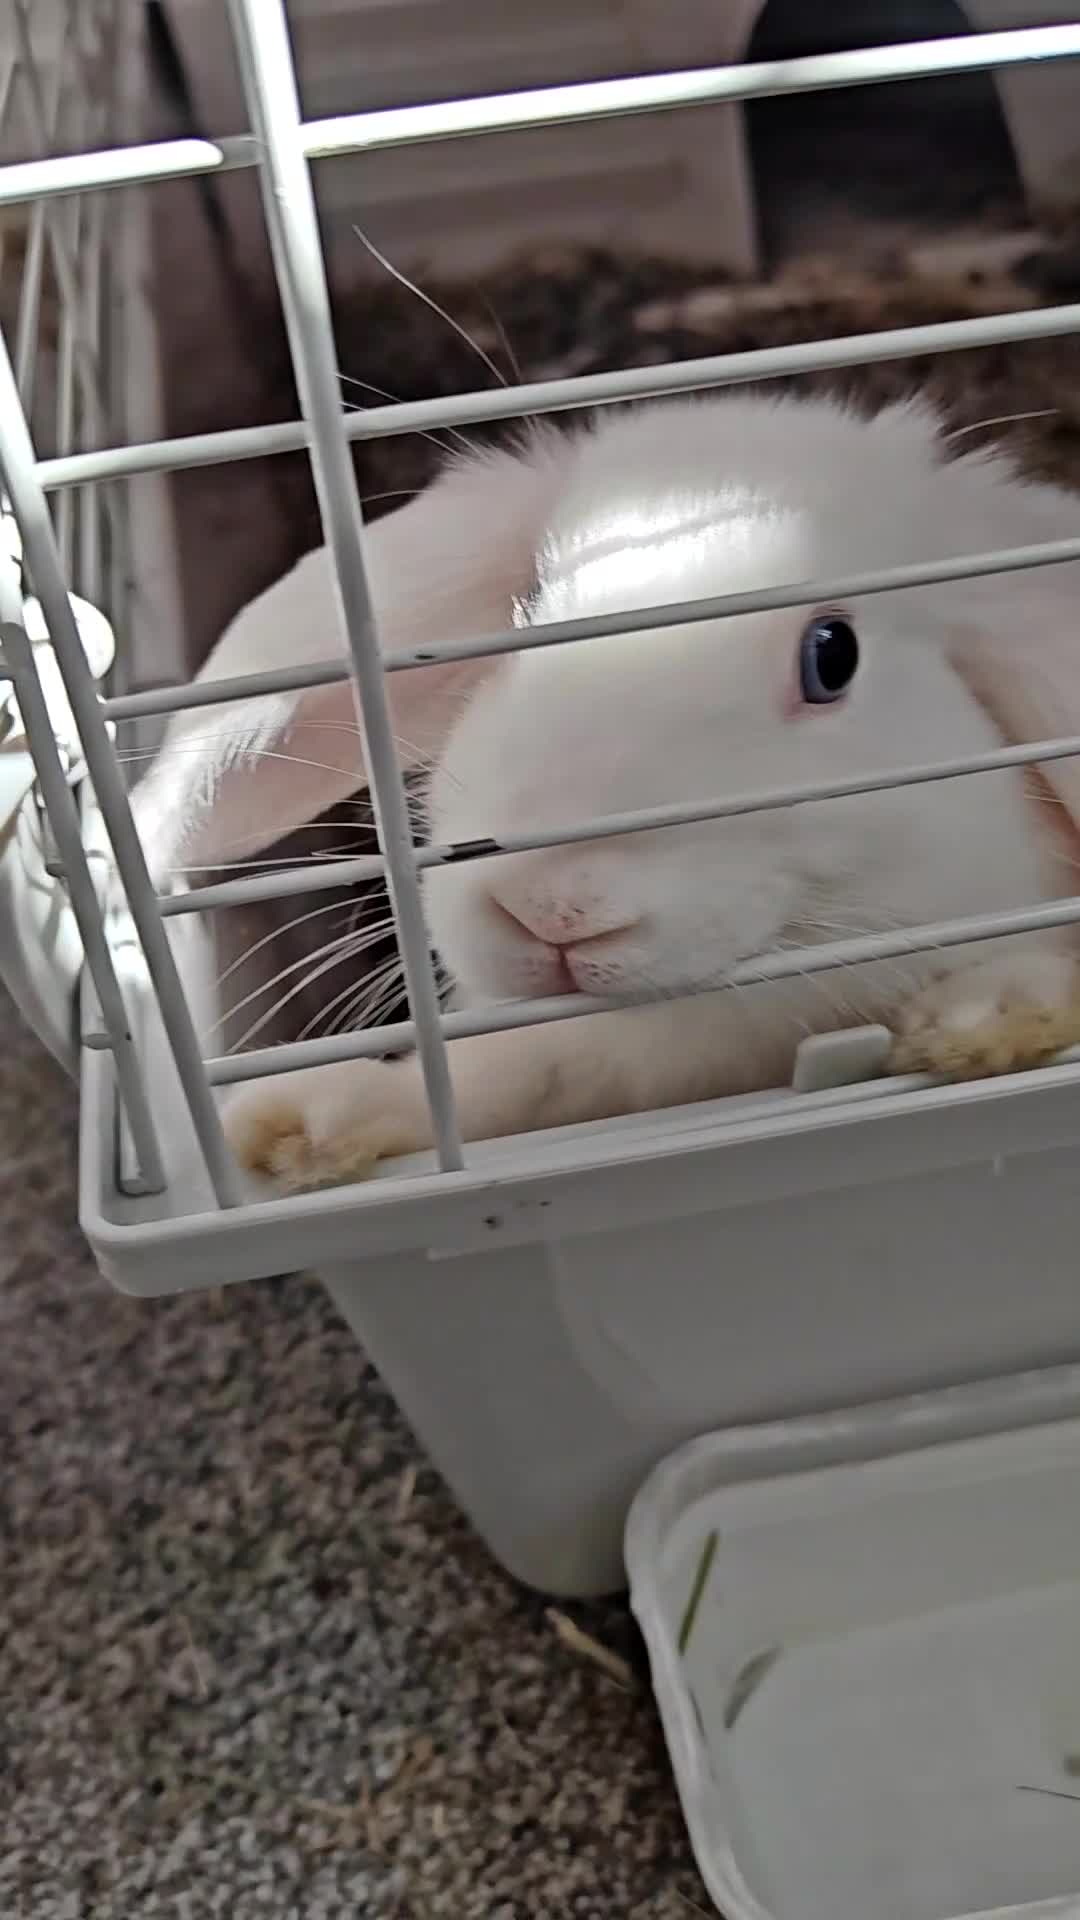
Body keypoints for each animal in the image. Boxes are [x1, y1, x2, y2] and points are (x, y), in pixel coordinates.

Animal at [132, 391, 1080, 1191]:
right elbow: (503, 1083)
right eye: (518, 611)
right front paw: (296, 1128)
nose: (551, 910)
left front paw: (981, 1023)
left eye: (832, 654)